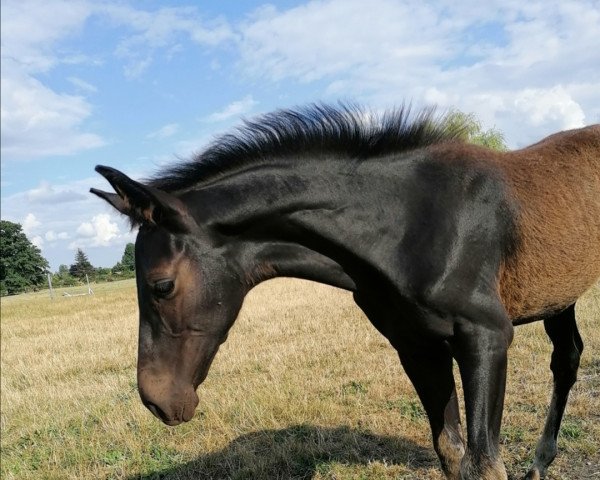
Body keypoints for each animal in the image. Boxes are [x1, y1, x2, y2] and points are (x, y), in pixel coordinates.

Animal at [90, 106, 600, 480]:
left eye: (161, 285)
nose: (158, 400)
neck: (411, 220)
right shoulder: (417, 347)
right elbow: (451, 452)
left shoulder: (487, 339)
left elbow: (485, 463)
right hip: (558, 296)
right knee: (567, 357)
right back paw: (540, 464)